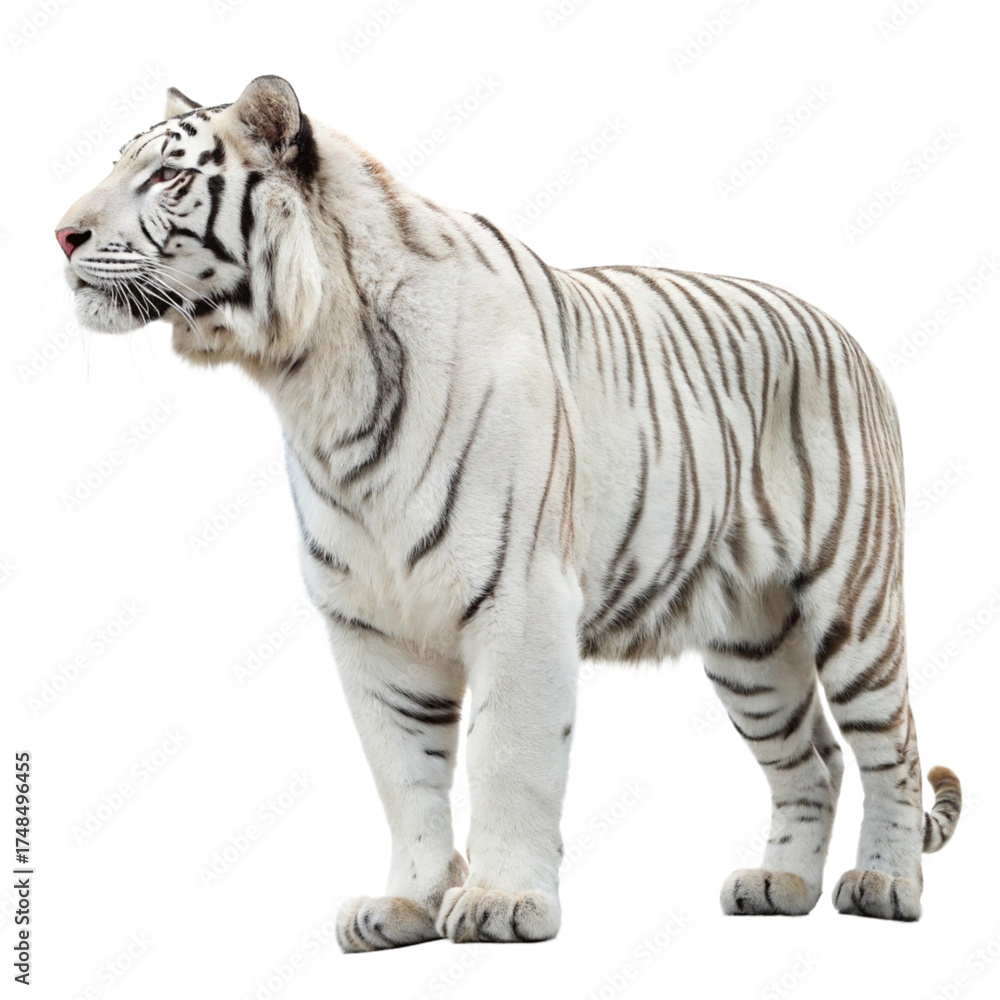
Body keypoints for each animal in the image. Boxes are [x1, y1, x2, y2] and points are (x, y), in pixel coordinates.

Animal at [56, 75, 962, 950]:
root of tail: (844, 332)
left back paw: (886, 886)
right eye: (116, 166)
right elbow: (405, 776)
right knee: (813, 762)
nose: (61, 235)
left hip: (856, 604)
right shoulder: (370, 626)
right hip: (751, 641)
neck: (311, 376)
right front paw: (406, 905)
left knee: (891, 747)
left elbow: (506, 759)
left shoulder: (520, 600)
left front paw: (500, 902)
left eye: (166, 177)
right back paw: (780, 886)